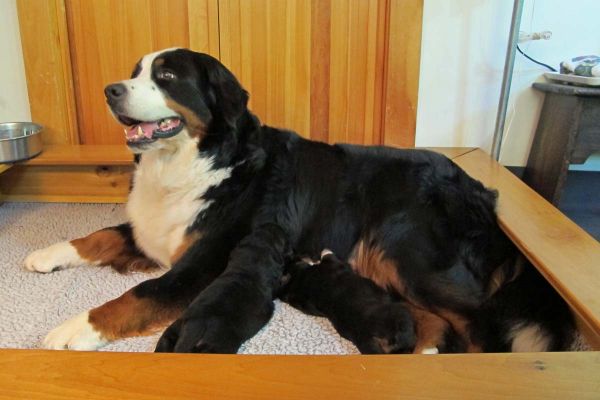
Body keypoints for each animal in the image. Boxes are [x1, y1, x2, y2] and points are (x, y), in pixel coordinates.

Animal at [24, 49, 576, 354]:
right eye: (134, 71)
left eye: (167, 76)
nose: (110, 90)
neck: (191, 163)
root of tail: (482, 193)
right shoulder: (154, 231)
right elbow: (101, 234)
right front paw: (46, 254)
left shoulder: (202, 266)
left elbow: (137, 297)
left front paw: (72, 329)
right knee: (438, 322)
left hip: (410, 251)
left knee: (481, 325)